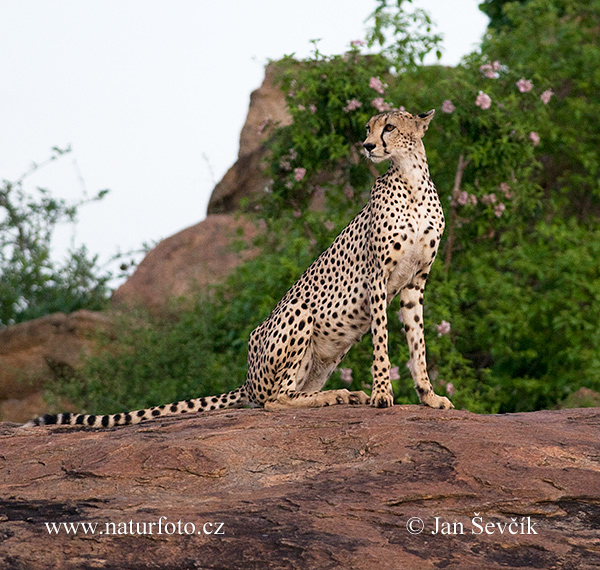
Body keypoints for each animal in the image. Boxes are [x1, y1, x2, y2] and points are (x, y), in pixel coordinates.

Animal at [27, 107, 450, 426]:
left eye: (389, 127)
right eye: (368, 128)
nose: (367, 145)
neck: (410, 180)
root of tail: (247, 378)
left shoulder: (414, 283)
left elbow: (417, 344)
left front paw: (429, 397)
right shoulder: (378, 277)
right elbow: (383, 342)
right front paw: (382, 394)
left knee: (287, 393)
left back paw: (339, 395)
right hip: (298, 314)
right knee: (273, 399)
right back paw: (342, 395)